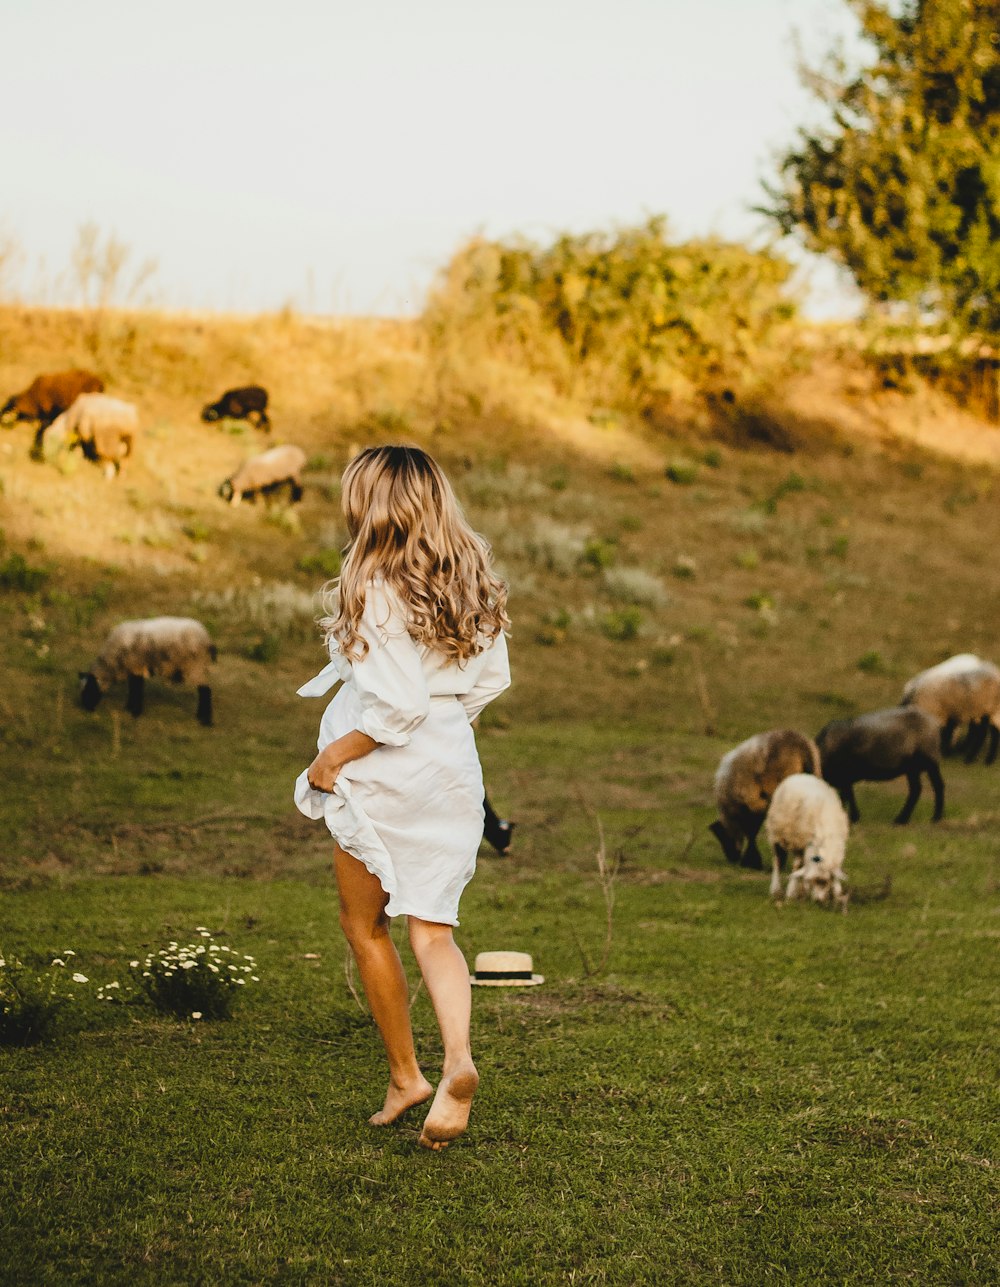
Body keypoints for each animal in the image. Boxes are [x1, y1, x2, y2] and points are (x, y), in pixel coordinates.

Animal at [79, 620, 216, 731]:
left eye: (90, 689)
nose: (86, 709)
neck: (112, 662)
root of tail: (207, 638)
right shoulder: (134, 668)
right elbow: (133, 687)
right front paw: (129, 708)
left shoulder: (136, 666)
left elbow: (136, 687)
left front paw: (135, 712)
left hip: (195, 665)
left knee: (205, 690)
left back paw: (205, 720)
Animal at [705, 731, 823, 870]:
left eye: (723, 838)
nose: (732, 858)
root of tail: (800, 745)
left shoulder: (748, 802)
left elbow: (751, 831)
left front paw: (751, 861)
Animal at [767, 767, 849, 911]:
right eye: (812, 881)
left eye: (826, 881)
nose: (818, 901)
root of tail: (801, 775)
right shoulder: (800, 842)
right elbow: (797, 867)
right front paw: (791, 893)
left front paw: (836, 893)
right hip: (777, 833)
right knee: (777, 860)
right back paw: (776, 889)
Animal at [813, 705, 942, 823]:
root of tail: (933, 722)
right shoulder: (844, 778)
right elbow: (847, 795)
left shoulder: (845, 775)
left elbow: (846, 795)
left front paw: (852, 817)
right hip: (912, 768)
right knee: (916, 789)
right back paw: (902, 819)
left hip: (929, 760)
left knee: (937, 785)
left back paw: (935, 817)